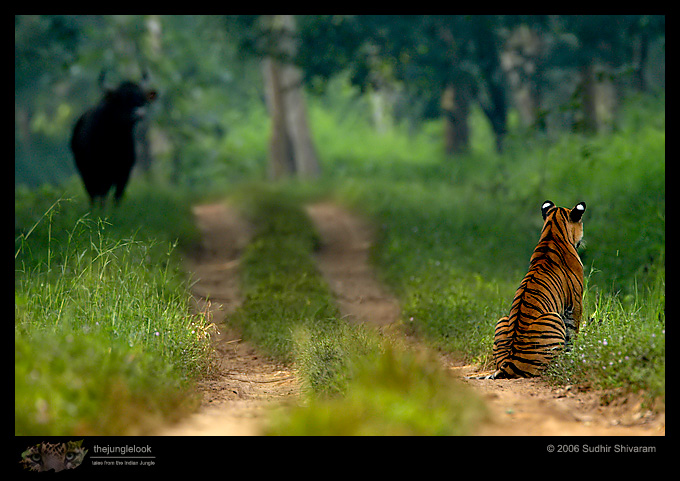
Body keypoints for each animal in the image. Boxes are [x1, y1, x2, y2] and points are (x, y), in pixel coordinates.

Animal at [480, 200, 586, 379]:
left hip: (502, 319)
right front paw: (573, 355)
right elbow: (572, 333)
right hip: (553, 317)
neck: (552, 233)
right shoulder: (575, 303)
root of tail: (508, 364)